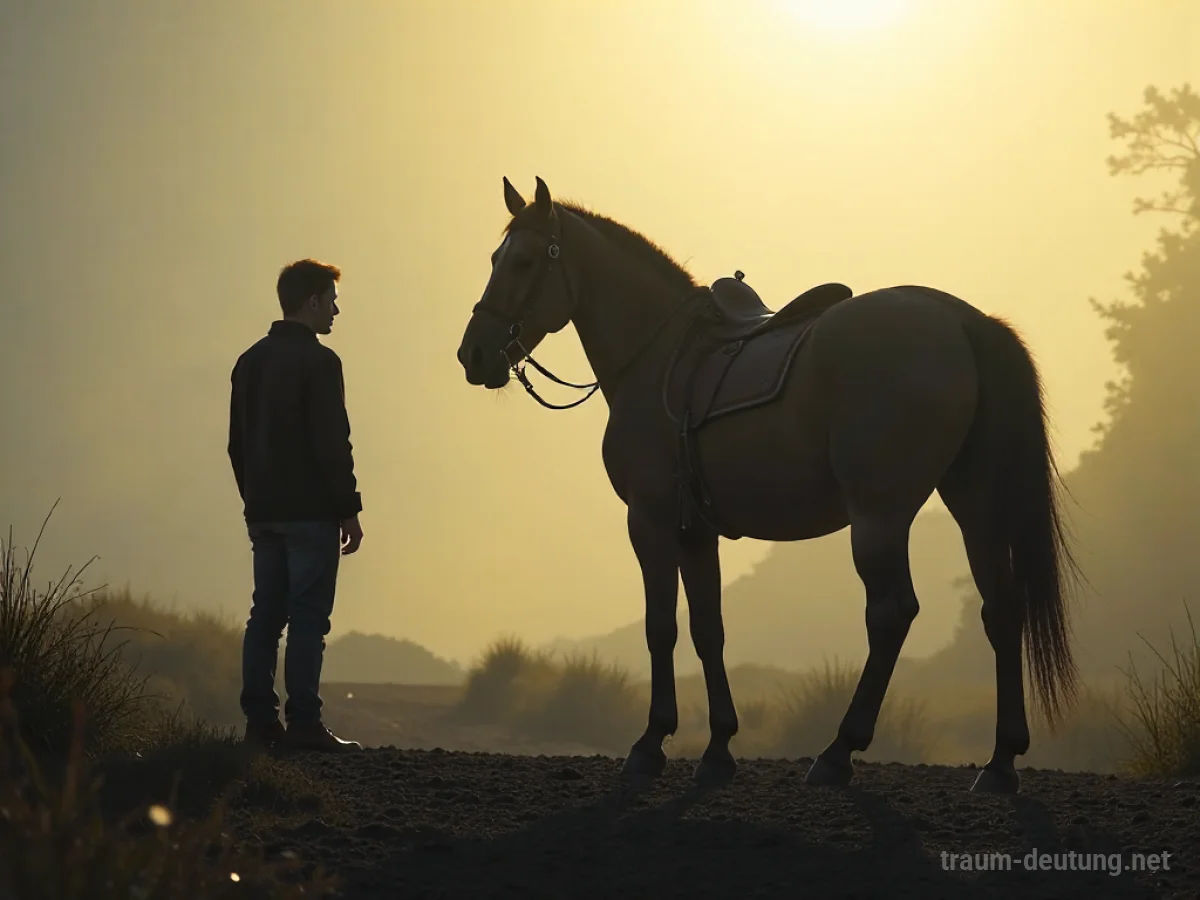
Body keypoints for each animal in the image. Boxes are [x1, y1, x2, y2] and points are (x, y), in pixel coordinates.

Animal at [456, 176, 1079, 794]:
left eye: (526, 261)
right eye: (494, 259)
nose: (474, 354)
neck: (659, 357)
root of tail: (961, 321)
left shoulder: (649, 521)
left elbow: (661, 627)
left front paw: (651, 742)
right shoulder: (694, 532)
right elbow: (708, 629)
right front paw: (717, 748)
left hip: (879, 516)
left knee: (892, 613)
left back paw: (838, 752)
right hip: (975, 506)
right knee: (1001, 609)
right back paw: (999, 762)